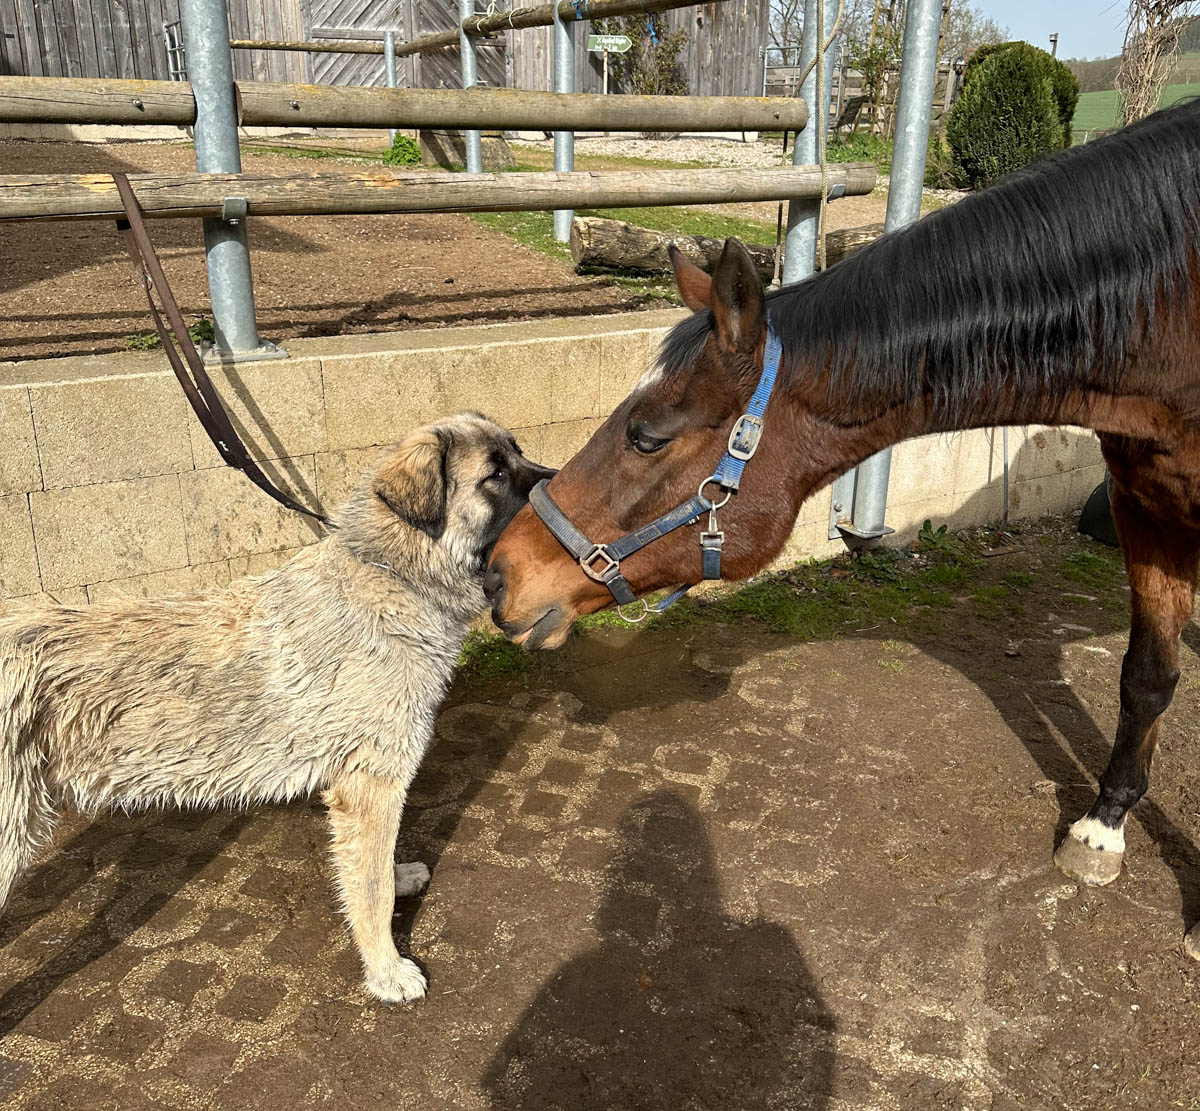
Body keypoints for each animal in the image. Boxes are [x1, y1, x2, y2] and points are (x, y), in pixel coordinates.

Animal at [0, 412, 554, 1003]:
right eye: (496, 474)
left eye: (518, 453)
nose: (560, 480)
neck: (391, 573)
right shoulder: (371, 784)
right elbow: (371, 888)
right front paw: (386, 971)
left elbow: (375, 865)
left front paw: (398, 878)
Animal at [484, 98, 1200, 950]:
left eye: (647, 436)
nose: (499, 570)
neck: (1173, 307)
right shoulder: (1142, 500)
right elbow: (1146, 677)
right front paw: (1103, 827)